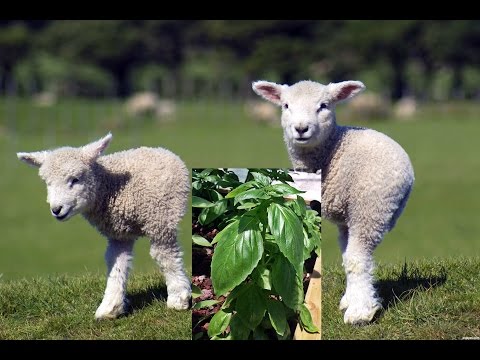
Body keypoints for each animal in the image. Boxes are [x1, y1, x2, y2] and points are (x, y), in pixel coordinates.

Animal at [18, 134, 191, 320]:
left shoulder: (158, 224)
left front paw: (178, 298)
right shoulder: (119, 233)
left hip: (163, 214)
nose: (56, 209)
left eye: (75, 179)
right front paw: (110, 307)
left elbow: (165, 257)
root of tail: (158, 149)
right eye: (48, 183)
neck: (109, 188)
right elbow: (116, 262)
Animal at [253, 80, 414, 324]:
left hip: (370, 208)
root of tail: (408, 170)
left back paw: (360, 311)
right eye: (286, 105)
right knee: (350, 256)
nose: (301, 129)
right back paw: (351, 299)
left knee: (359, 258)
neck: (332, 147)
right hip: (355, 216)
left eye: (323, 106)